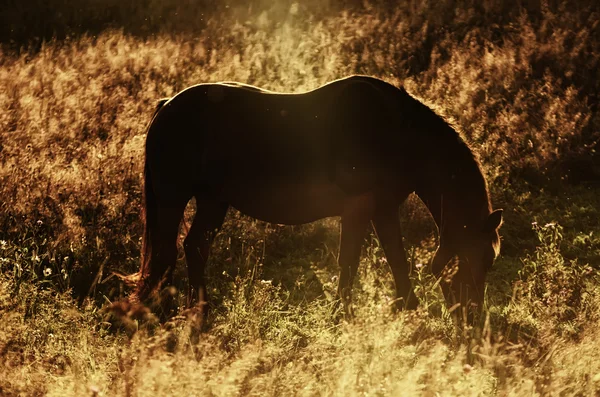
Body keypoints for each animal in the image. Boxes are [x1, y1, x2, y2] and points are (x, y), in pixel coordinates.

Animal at [131, 74, 502, 316]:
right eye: (485, 257)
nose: (474, 315)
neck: (397, 133)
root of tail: (167, 105)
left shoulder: (383, 209)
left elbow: (396, 256)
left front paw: (406, 308)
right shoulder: (357, 208)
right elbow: (349, 260)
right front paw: (342, 313)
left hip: (213, 200)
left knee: (195, 247)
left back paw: (199, 312)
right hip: (173, 197)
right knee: (165, 254)